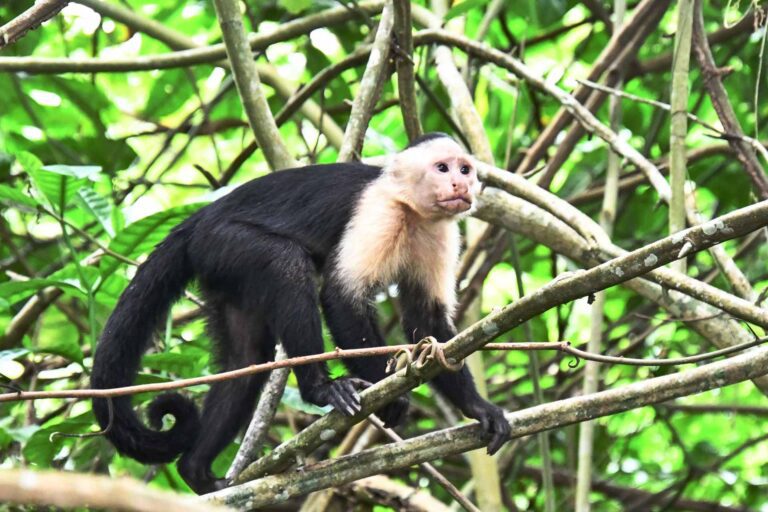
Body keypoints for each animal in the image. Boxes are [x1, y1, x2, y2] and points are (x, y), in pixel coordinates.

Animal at [91, 132, 510, 494]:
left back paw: (197, 471)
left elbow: (427, 324)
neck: (412, 209)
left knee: (246, 359)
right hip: (225, 242)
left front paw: (477, 407)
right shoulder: (378, 210)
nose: (460, 184)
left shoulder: (440, 233)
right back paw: (320, 389)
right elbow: (341, 297)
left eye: (465, 169)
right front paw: (387, 392)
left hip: (223, 271)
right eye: (442, 168)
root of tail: (198, 220)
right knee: (286, 264)